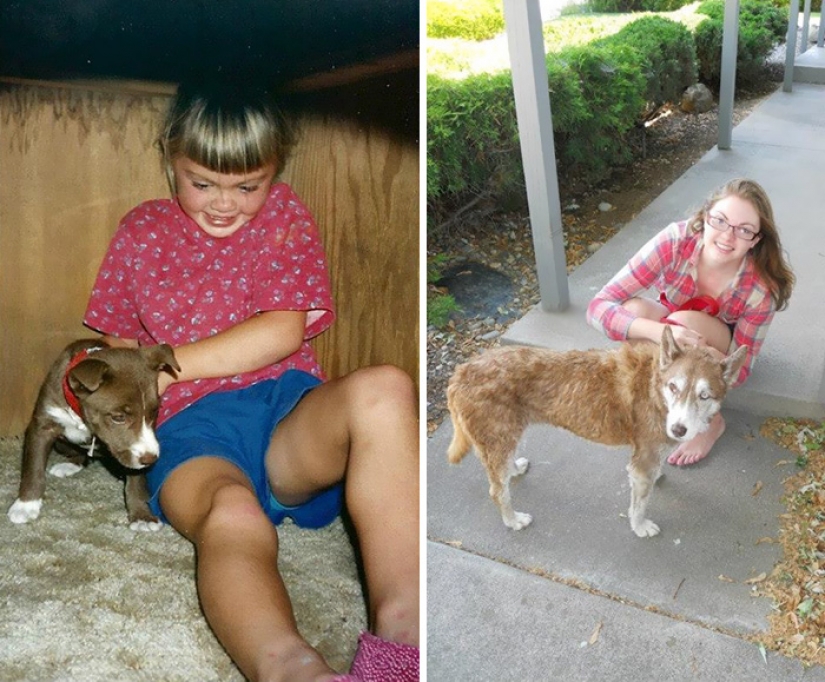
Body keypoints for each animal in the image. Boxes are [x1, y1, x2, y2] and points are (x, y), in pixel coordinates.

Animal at [7, 338, 179, 528]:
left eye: (155, 411)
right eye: (118, 417)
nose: (151, 459)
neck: (79, 414)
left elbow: (137, 479)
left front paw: (142, 516)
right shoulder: (42, 427)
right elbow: (33, 469)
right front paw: (25, 506)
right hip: (60, 444)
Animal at [444, 326, 748, 532]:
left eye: (704, 395)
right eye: (674, 387)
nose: (678, 429)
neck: (653, 387)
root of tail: (460, 372)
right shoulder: (642, 463)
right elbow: (639, 504)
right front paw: (640, 527)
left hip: (505, 436)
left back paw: (513, 470)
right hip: (499, 436)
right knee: (497, 491)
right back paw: (513, 520)